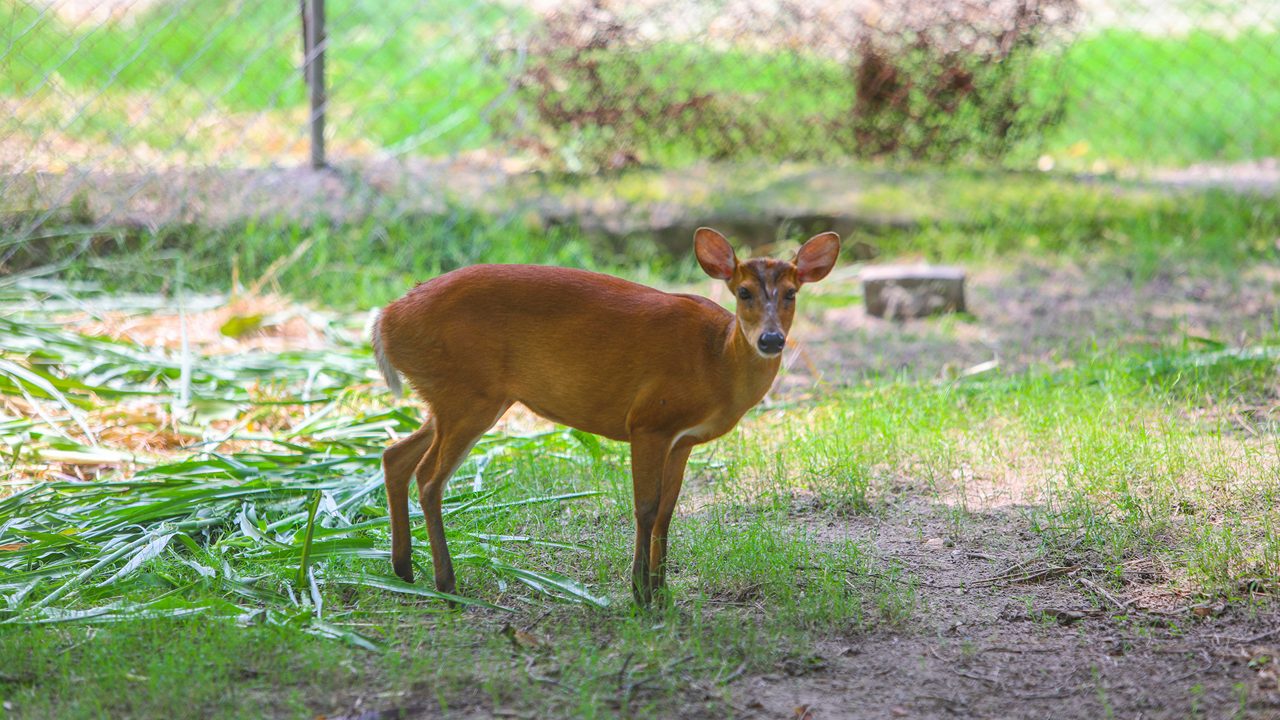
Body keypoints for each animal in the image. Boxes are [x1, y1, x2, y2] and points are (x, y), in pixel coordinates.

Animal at [371, 226, 839, 602]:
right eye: (743, 292)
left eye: (791, 293)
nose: (771, 340)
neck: (715, 361)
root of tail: (386, 318)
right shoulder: (649, 421)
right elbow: (645, 508)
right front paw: (640, 593)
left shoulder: (683, 439)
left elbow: (668, 510)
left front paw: (662, 590)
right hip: (468, 394)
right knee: (429, 478)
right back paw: (446, 583)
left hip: (458, 396)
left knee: (395, 456)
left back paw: (404, 570)